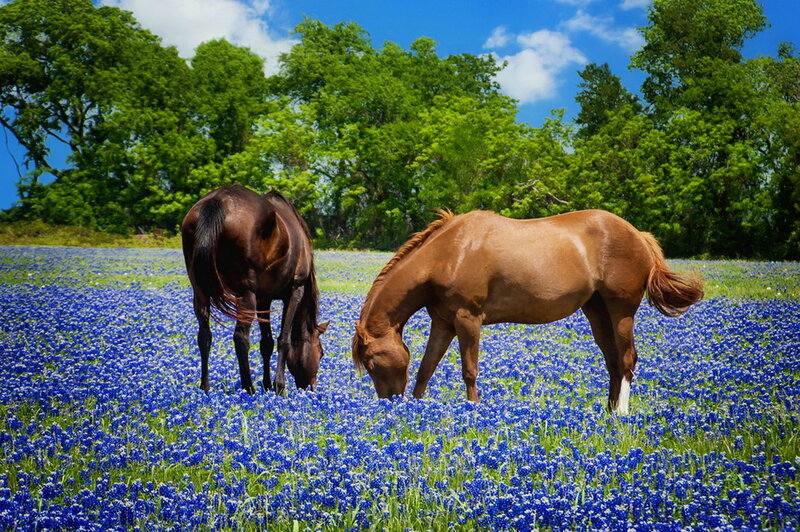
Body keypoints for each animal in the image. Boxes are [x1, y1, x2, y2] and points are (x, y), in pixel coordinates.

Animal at [181, 185, 328, 395]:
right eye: (321, 353)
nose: (311, 387)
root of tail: (218, 200)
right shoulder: (295, 290)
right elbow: (283, 339)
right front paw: (278, 386)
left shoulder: (264, 298)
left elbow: (266, 342)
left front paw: (267, 385)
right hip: (245, 292)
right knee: (240, 338)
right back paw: (248, 388)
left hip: (200, 290)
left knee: (204, 336)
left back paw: (205, 388)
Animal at [352, 209, 703, 414]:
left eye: (371, 362)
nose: (389, 404)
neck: (450, 253)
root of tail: (638, 234)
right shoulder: (443, 322)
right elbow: (426, 369)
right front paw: (416, 411)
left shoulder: (468, 319)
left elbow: (469, 370)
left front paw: (473, 410)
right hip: (597, 311)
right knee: (613, 361)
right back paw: (607, 410)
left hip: (622, 310)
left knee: (628, 359)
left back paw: (621, 413)